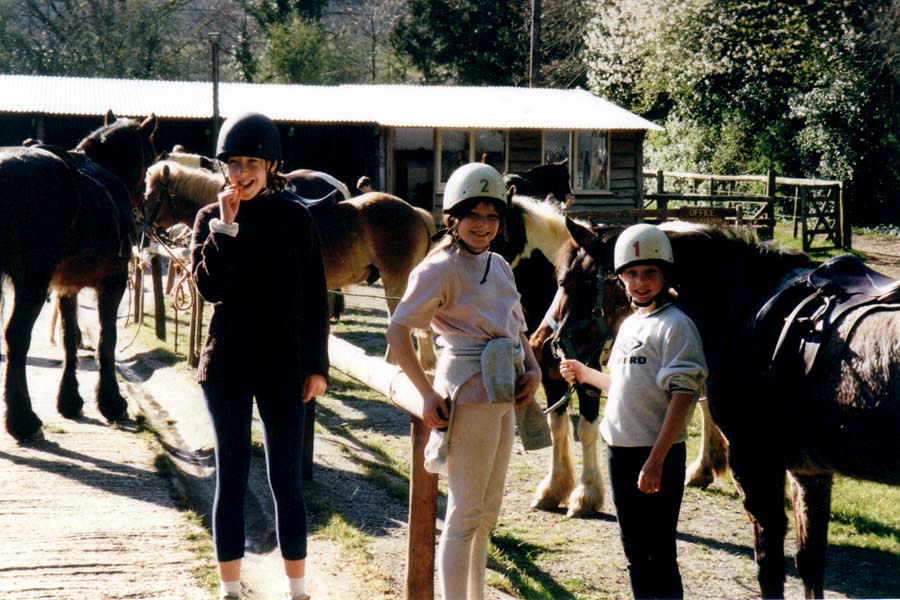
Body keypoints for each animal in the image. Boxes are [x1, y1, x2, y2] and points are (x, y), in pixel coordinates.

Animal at [0, 112, 158, 440]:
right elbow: (106, 340)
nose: (144, 203)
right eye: (151, 157)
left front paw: (69, 400)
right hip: (32, 283)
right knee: (16, 337)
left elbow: (69, 339)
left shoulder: (65, 287)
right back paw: (23, 420)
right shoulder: (113, 282)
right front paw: (111, 401)